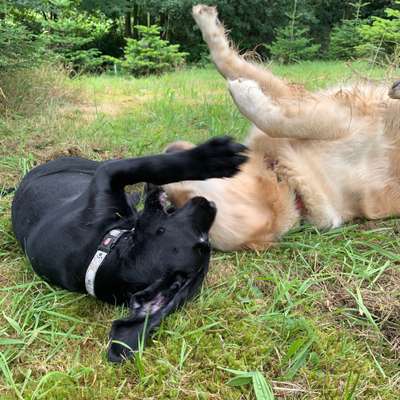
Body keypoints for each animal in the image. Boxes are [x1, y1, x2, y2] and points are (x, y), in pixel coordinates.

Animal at [10, 137, 245, 362]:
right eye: (203, 241)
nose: (208, 205)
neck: (102, 251)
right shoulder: (107, 176)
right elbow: (152, 164)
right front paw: (212, 158)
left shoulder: (107, 177)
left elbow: (151, 165)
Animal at [164, 4, 400, 250]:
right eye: (171, 208)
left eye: (189, 202)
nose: (168, 150)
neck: (284, 175)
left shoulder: (339, 118)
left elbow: (271, 114)